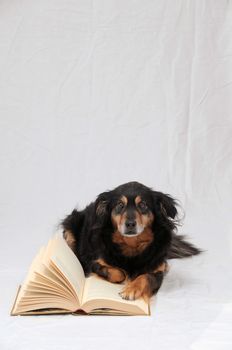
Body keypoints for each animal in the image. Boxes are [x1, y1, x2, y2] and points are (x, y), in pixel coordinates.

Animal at [61, 182, 201, 302]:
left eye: (143, 205)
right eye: (120, 205)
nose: (130, 224)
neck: (132, 244)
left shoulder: (157, 272)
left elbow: (145, 277)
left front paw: (131, 289)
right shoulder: (94, 263)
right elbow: (118, 273)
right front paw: (125, 279)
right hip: (70, 229)